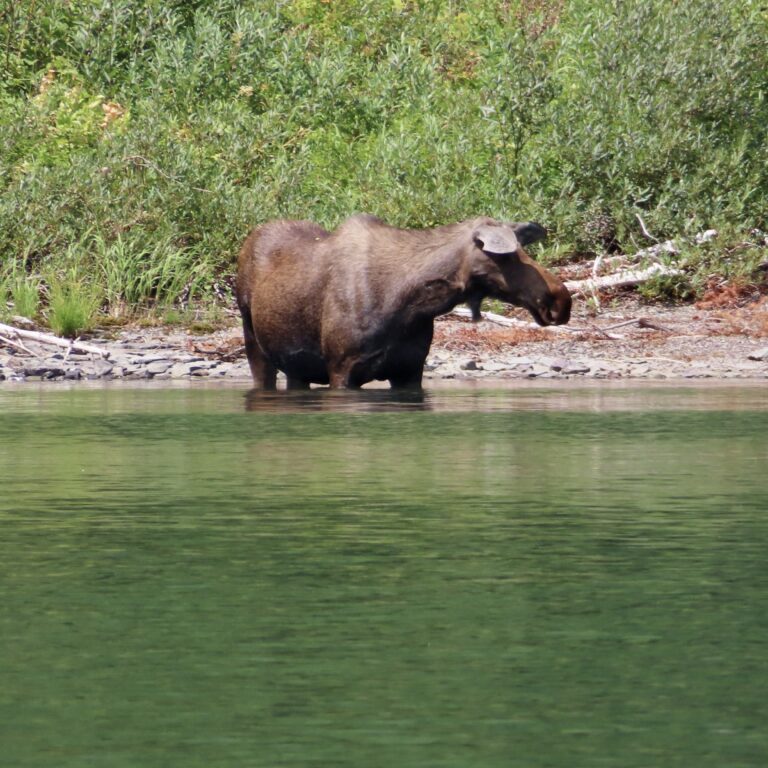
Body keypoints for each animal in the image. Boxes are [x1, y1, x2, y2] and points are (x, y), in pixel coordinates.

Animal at [236, 213, 568, 388]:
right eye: (509, 256)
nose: (561, 300)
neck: (411, 304)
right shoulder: (342, 369)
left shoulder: (410, 370)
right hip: (253, 339)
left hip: (295, 367)